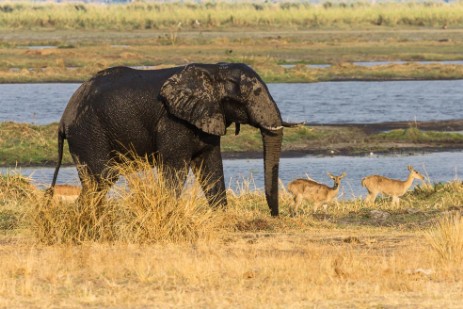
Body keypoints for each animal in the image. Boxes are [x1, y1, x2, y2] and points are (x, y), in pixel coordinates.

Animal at [48, 62, 286, 215]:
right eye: (250, 96)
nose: (274, 215)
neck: (215, 70)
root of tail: (64, 118)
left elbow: (211, 166)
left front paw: (221, 218)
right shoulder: (173, 121)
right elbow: (175, 167)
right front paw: (169, 214)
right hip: (88, 132)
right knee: (101, 178)